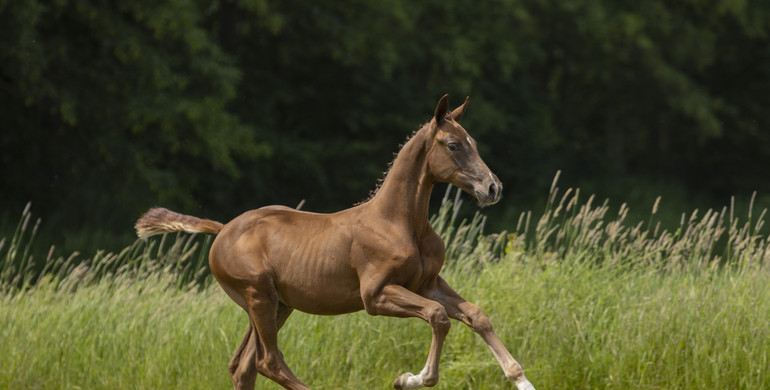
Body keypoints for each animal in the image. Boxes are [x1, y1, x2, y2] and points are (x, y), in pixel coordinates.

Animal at [136, 95, 536, 390]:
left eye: (474, 143)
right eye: (453, 145)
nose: (492, 188)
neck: (400, 223)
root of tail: (222, 230)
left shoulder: (428, 283)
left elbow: (476, 316)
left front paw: (522, 380)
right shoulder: (376, 296)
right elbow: (438, 317)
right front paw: (409, 378)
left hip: (276, 305)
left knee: (243, 366)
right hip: (259, 297)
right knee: (268, 361)